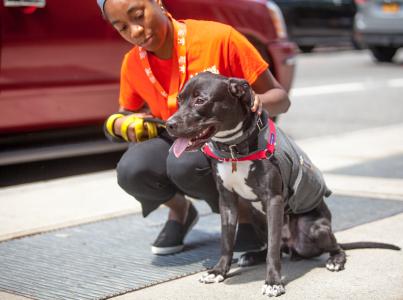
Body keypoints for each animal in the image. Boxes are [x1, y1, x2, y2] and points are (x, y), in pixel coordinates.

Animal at [166, 72, 400, 298]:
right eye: (179, 100)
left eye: (200, 100)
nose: (169, 124)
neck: (234, 148)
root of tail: (292, 246)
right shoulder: (227, 201)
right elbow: (227, 241)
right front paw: (218, 271)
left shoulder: (274, 201)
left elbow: (272, 250)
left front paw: (273, 282)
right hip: (258, 218)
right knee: (275, 246)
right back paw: (252, 256)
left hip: (313, 227)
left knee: (329, 247)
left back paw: (335, 260)